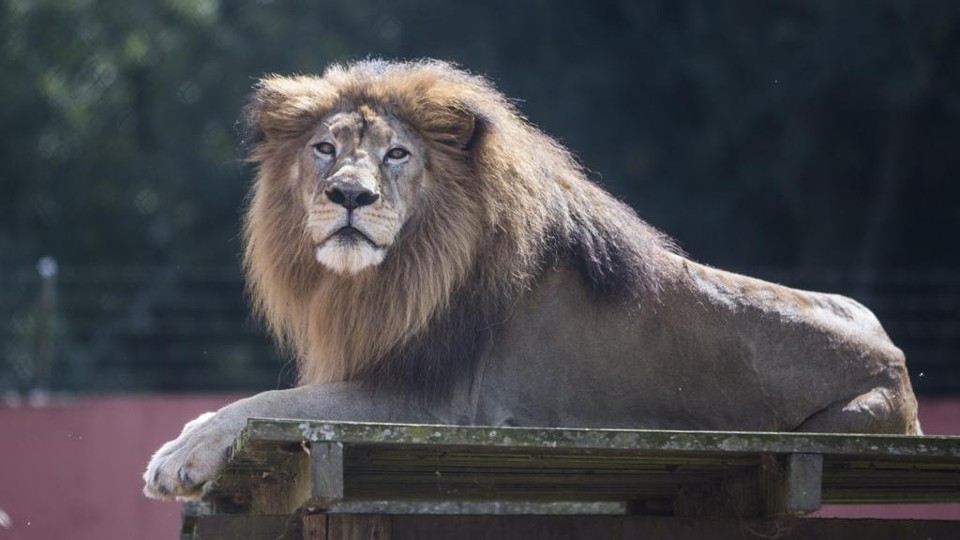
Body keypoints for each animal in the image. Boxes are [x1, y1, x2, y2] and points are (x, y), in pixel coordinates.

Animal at [144, 59, 920, 500]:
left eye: (397, 154)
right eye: (325, 148)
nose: (350, 196)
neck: (388, 276)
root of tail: (898, 364)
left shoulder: (434, 404)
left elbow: (268, 401)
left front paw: (177, 457)